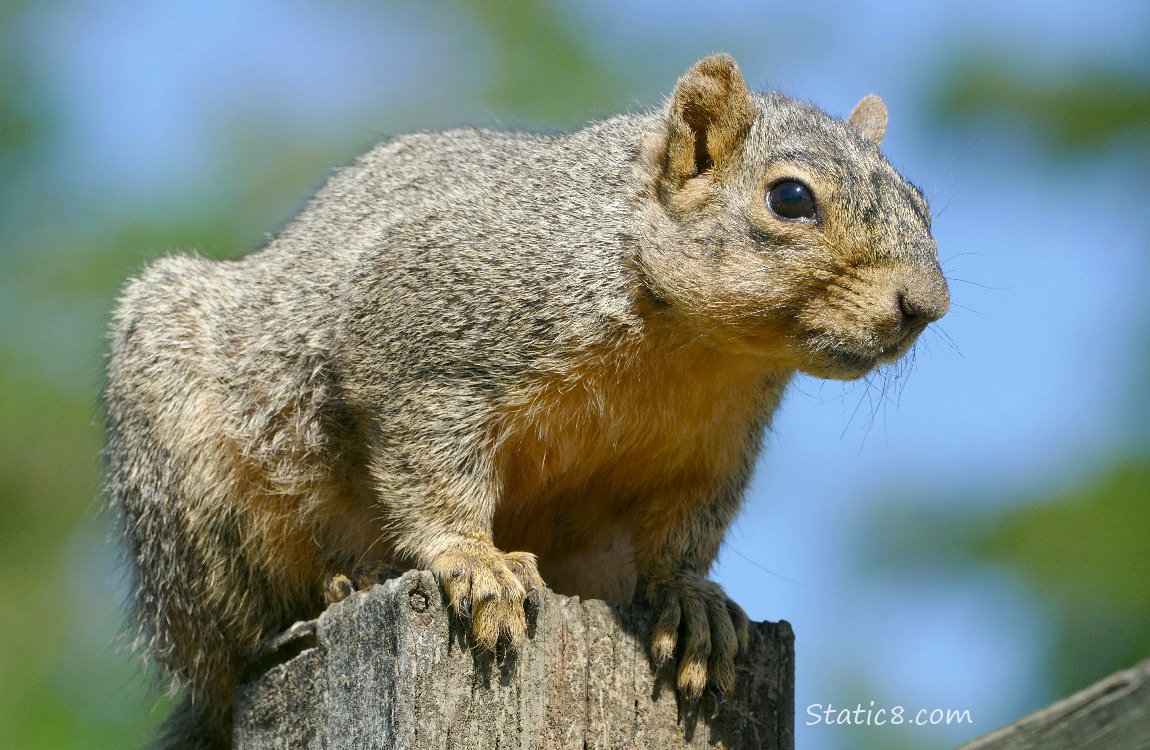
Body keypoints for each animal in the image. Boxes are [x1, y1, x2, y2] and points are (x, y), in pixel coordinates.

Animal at [105, 54, 952, 750]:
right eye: (791, 198)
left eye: (922, 202)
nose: (927, 305)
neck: (693, 344)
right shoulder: (424, 332)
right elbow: (429, 466)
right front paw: (475, 561)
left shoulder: (711, 453)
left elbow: (683, 532)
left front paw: (692, 602)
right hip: (189, 491)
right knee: (231, 635)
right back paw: (338, 585)